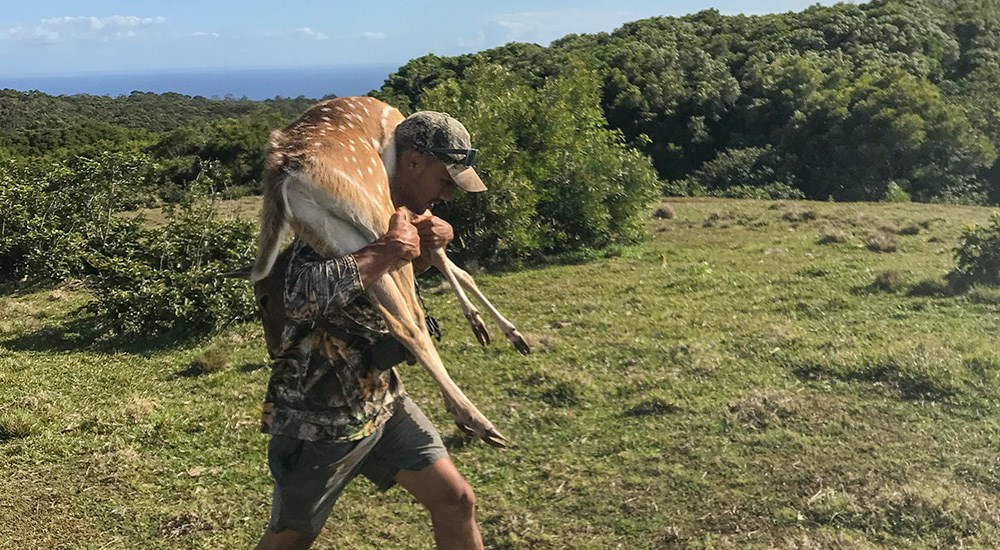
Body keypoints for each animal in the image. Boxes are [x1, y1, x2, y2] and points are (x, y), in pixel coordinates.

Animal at [250, 95, 532, 448]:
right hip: (380, 217)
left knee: (400, 321)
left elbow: (453, 266)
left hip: (333, 234)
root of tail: (282, 166)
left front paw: (497, 330)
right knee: (414, 318)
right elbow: (448, 262)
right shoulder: (412, 213)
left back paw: (466, 415)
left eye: (265, 300)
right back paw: (481, 423)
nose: (273, 348)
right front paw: (500, 331)